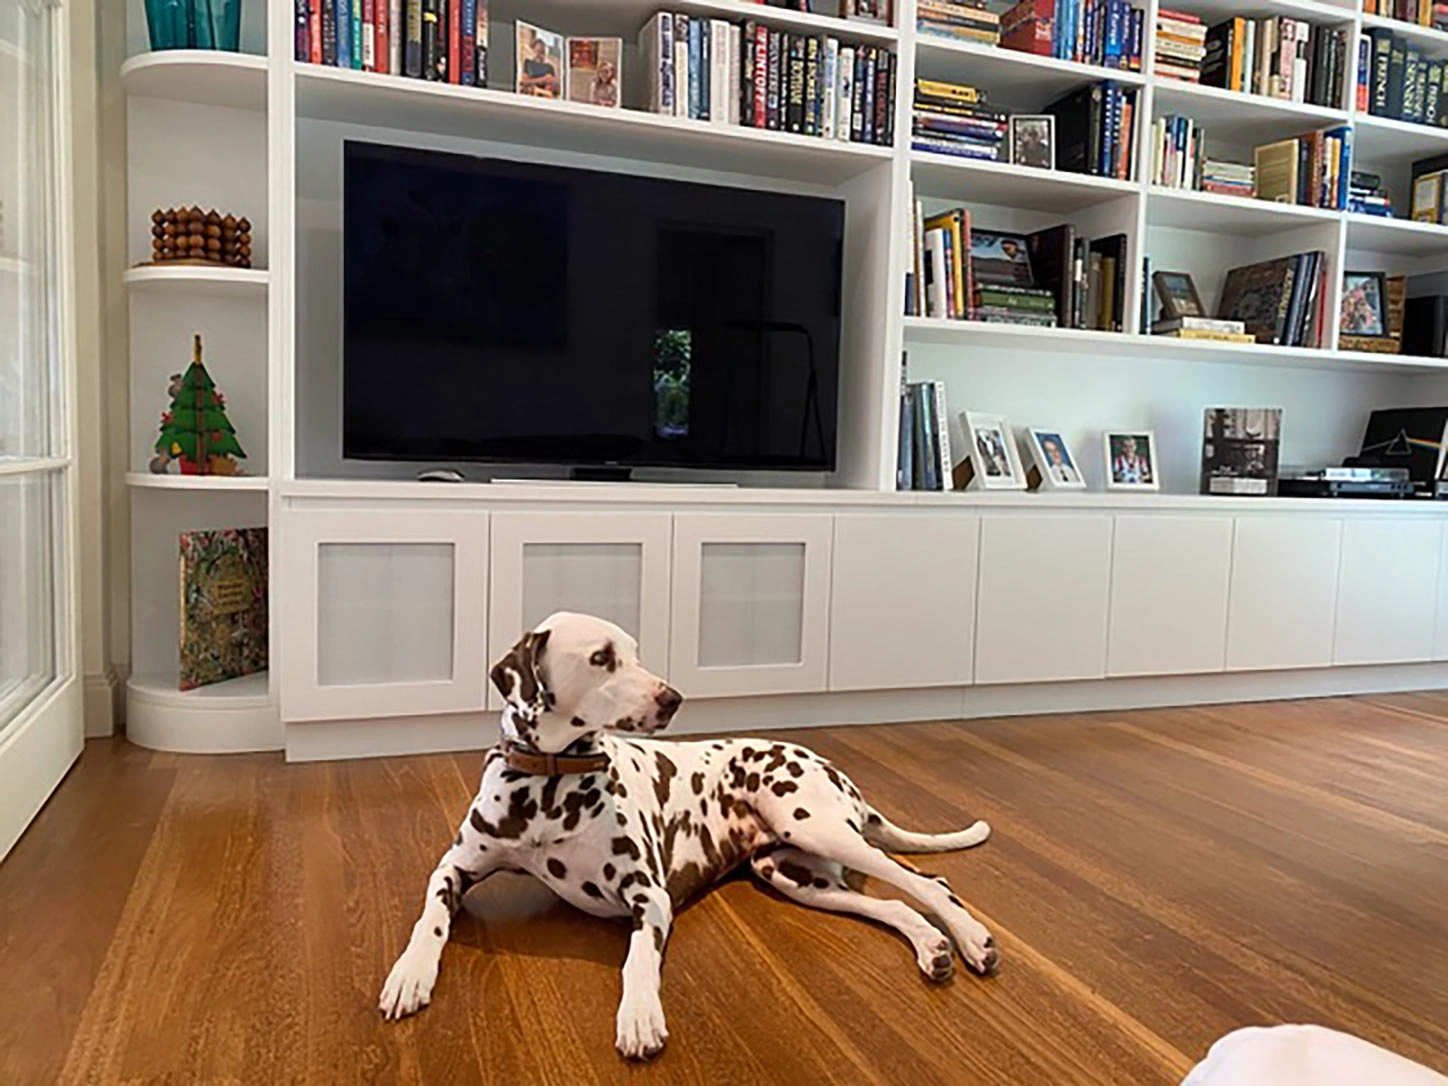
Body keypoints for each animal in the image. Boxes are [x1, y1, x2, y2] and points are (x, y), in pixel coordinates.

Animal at [379, 613, 1002, 1065]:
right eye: (601, 658)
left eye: (636, 652)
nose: (673, 697)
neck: (549, 785)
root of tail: (826, 764)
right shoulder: (452, 868)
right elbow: (429, 918)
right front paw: (409, 973)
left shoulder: (648, 896)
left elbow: (637, 958)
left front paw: (639, 1015)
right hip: (794, 874)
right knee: (896, 903)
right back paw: (932, 947)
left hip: (815, 826)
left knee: (929, 882)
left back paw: (971, 939)